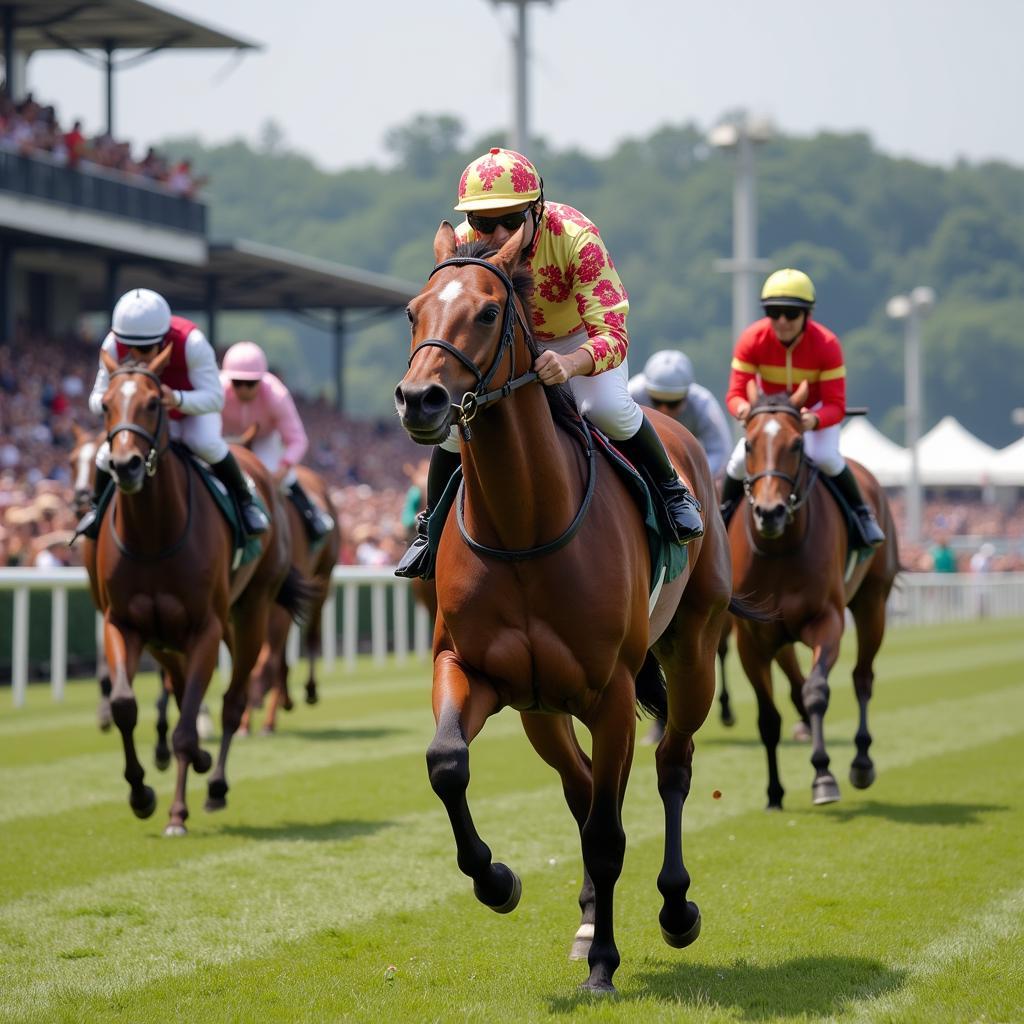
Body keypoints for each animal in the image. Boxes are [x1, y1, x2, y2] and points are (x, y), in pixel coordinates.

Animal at [81, 348, 307, 835]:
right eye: (105, 404)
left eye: (153, 403)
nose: (125, 465)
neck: (153, 535)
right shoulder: (125, 623)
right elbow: (126, 705)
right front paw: (141, 793)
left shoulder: (206, 626)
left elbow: (188, 724)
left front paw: (177, 812)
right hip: (167, 637)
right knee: (187, 687)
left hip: (251, 611)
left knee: (234, 699)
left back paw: (216, 782)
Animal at [395, 224, 757, 991]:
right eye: (414, 311)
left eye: (488, 312)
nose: (421, 401)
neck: (523, 528)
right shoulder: (472, 667)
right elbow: (447, 762)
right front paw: (496, 880)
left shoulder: (612, 691)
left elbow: (609, 830)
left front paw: (603, 965)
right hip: (542, 709)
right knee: (581, 784)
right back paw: (590, 914)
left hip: (692, 650)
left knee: (671, 763)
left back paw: (675, 908)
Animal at [729, 382, 897, 806]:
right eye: (749, 444)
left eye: (795, 445)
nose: (769, 512)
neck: (778, 550)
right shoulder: (751, 638)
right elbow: (768, 717)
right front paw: (774, 793)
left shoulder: (827, 620)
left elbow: (816, 691)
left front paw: (823, 775)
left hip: (872, 604)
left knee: (862, 677)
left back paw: (861, 761)